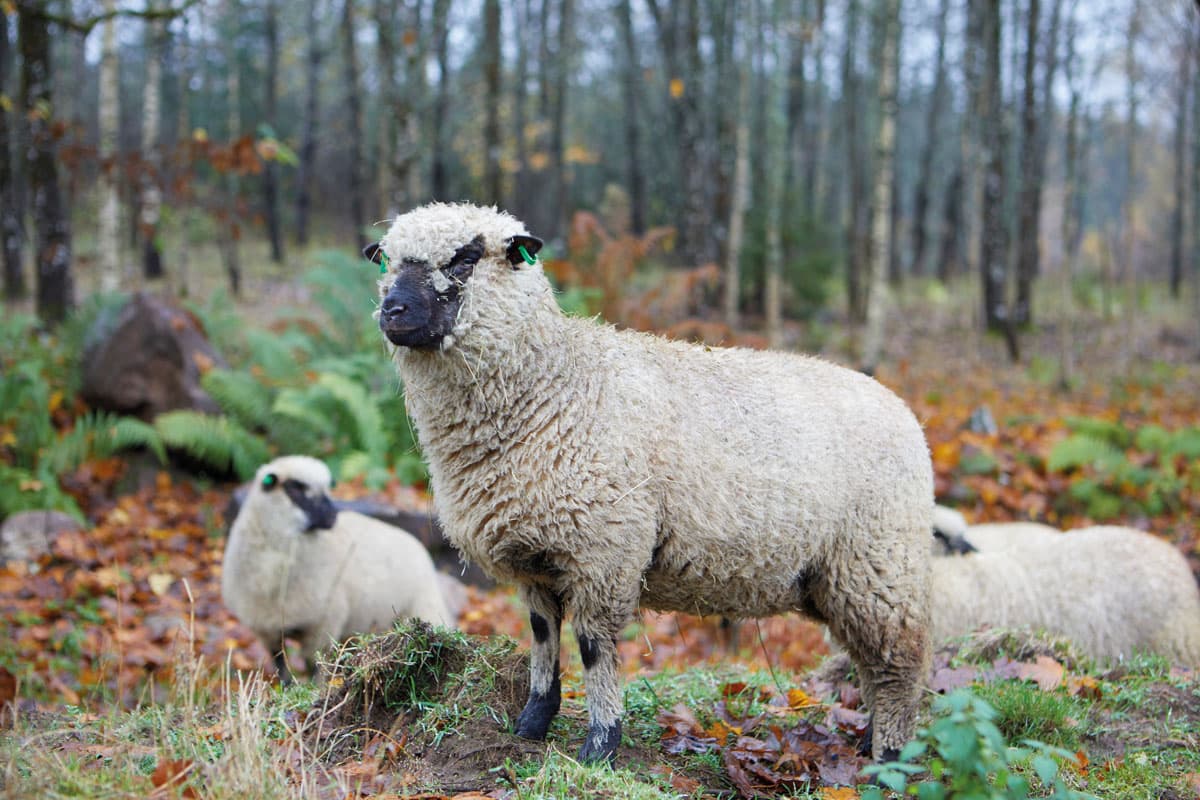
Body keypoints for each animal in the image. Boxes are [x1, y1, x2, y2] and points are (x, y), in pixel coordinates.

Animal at [222, 453, 453, 686]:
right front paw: (287, 688)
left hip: (422, 605)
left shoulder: (323, 626)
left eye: (326, 490)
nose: (332, 516)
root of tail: (415, 542)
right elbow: (281, 667)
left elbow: (314, 667)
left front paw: (316, 689)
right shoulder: (267, 630)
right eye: (296, 488)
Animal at [364, 201, 936, 762]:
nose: (391, 311)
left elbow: (594, 648)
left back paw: (889, 756)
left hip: (879, 560)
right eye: (385, 261)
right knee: (871, 661)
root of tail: (904, 411)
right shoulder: (537, 559)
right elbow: (543, 637)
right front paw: (531, 725)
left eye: (465, 258)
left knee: (901, 661)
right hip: (839, 576)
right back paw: (870, 741)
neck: (555, 386)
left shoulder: (604, 551)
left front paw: (600, 744)